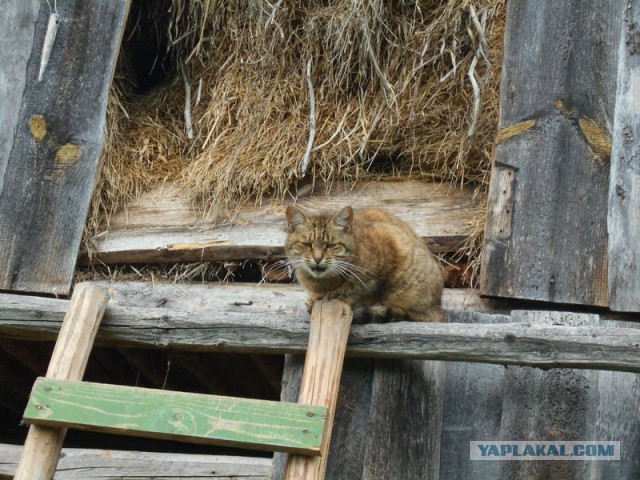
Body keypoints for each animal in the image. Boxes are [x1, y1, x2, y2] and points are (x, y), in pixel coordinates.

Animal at [284, 205, 444, 322]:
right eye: (306, 244)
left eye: (331, 245)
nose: (317, 259)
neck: (324, 284)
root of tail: (439, 306)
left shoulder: (388, 245)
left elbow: (364, 293)